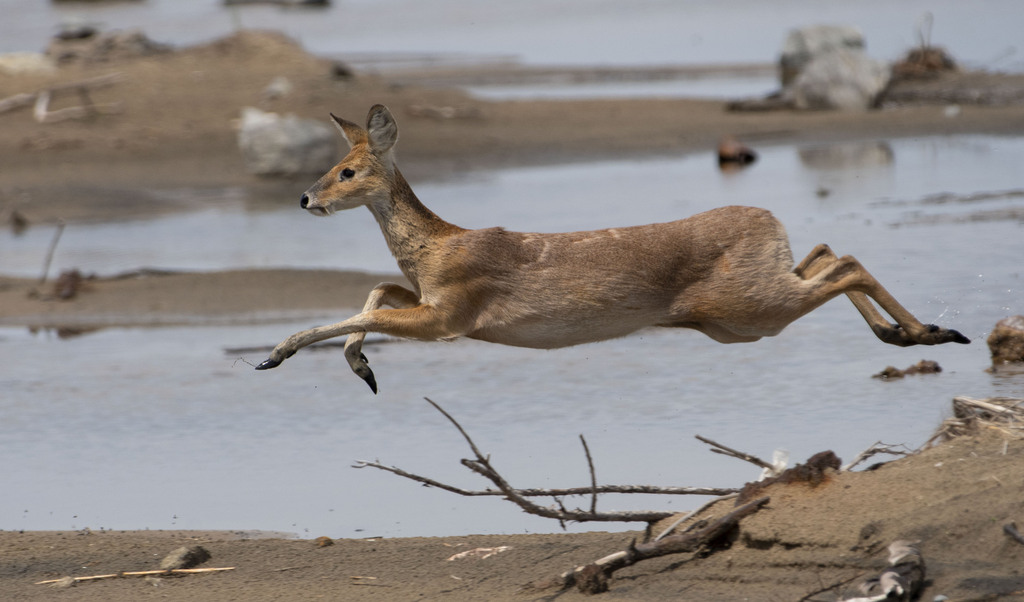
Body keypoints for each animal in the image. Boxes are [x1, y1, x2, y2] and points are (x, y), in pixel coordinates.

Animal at [256, 104, 970, 393]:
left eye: (348, 170)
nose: (306, 198)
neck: (437, 246)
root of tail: (766, 219)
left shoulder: (449, 317)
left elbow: (361, 310)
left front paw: (275, 353)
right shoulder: (433, 303)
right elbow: (376, 293)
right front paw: (362, 368)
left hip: (747, 309)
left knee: (845, 263)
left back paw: (932, 332)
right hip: (746, 310)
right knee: (827, 251)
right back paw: (910, 333)